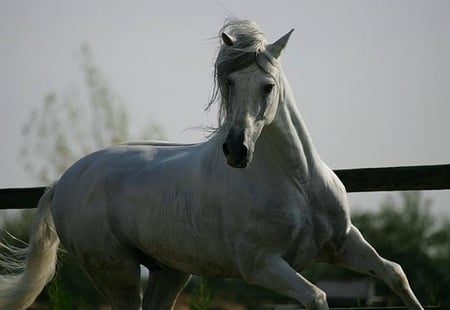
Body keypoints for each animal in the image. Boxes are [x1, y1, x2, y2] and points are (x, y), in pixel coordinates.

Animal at [0, 19, 422, 310]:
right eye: (229, 83)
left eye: (268, 86)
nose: (236, 150)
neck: (297, 183)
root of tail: (64, 180)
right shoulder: (262, 266)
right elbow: (317, 297)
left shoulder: (343, 243)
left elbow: (396, 273)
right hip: (115, 271)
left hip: (169, 272)